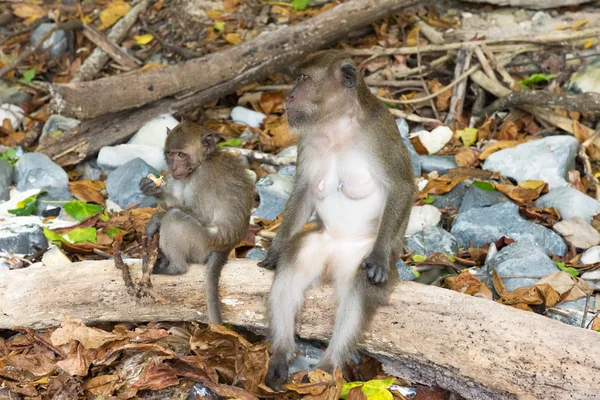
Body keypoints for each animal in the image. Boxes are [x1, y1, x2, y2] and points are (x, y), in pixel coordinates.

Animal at [139, 121, 254, 324]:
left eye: (181, 154)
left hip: (202, 243)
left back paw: (174, 268)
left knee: (175, 216)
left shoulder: (203, 177)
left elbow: (200, 214)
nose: (173, 167)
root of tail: (226, 247)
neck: (201, 162)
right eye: (170, 154)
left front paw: (156, 213)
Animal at [258, 50, 418, 390]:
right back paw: (282, 354)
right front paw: (275, 250)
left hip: (357, 255)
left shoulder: (380, 130)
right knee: (292, 270)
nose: (289, 96)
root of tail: (334, 258)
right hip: (319, 245)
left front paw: (379, 259)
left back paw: (329, 365)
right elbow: (304, 190)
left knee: (357, 288)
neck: (336, 124)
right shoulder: (307, 139)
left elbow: (401, 186)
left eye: (304, 78)